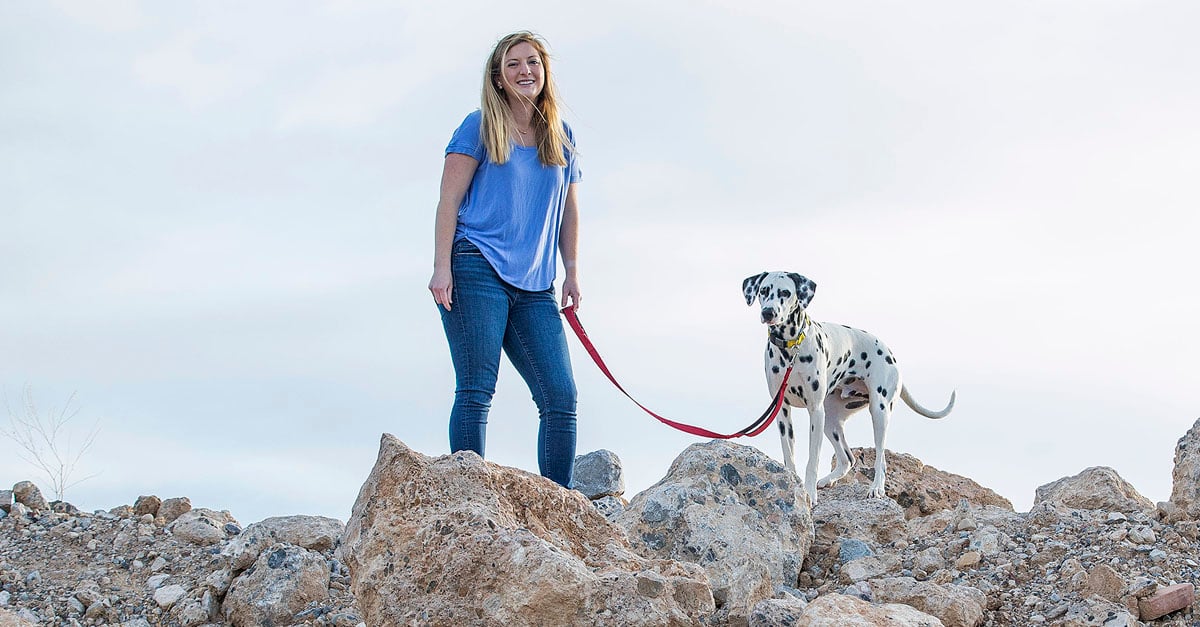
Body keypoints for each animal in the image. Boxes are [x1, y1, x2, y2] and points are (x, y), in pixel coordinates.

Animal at [739, 270, 955, 499]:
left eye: (785, 293)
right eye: (764, 290)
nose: (768, 312)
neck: (791, 349)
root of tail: (890, 353)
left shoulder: (815, 411)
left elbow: (812, 460)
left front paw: (810, 494)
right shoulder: (782, 411)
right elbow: (789, 455)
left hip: (878, 412)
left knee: (881, 459)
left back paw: (876, 488)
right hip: (831, 419)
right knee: (848, 459)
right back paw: (828, 480)